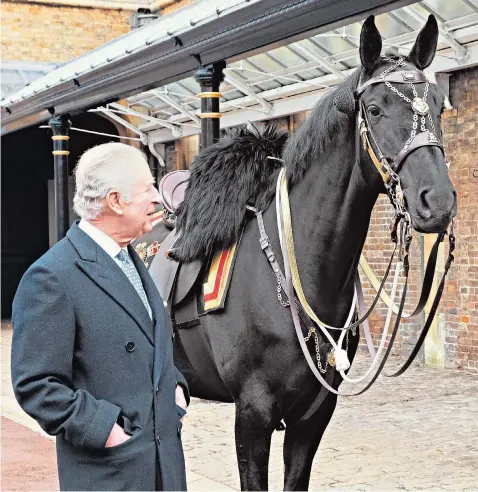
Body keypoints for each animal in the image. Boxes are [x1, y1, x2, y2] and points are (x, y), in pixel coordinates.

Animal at [145, 15, 456, 492]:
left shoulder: (313, 416)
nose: (436, 202)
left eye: (438, 106)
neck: (289, 271)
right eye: (376, 109)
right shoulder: (251, 415)